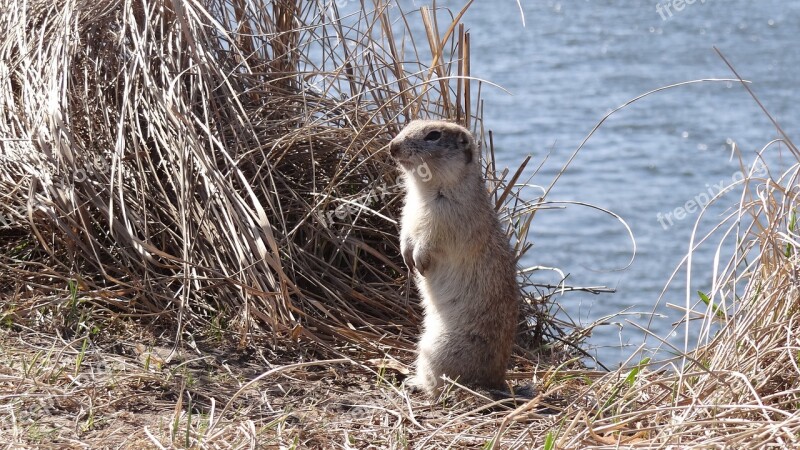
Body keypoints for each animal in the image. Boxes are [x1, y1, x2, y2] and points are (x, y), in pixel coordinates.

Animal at [388, 120, 520, 398]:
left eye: (433, 135)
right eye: (410, 124)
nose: (392, 147)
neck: (423, 191)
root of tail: (497, 381)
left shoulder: (448, 220)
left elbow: (431, 241)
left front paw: (419, 261)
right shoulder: (408, 211)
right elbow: (406, 232)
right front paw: (406, 257)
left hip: (439, 349)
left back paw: (416, 383)